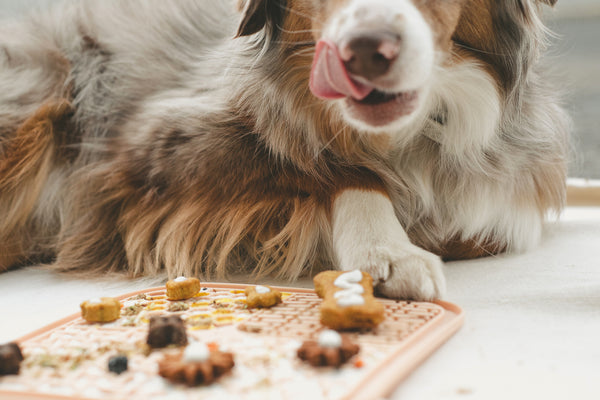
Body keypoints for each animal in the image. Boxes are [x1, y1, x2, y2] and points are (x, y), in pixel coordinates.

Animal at [0, 0, 568, 300]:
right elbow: (332, 166)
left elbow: (475, 225)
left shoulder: (507, 200)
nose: (365, 51)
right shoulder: (152, 146)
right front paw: (389, 250)